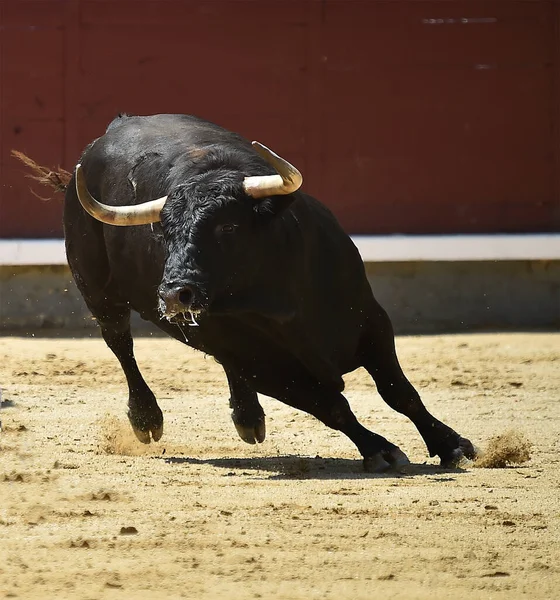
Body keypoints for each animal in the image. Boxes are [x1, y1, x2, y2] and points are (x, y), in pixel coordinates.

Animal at [20, 111, 476, 468]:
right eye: (164, 234)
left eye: (228, 227)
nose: (173, 294)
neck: (279, 299)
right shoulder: (266, 366)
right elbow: (332, 406)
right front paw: (380, 450)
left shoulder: (371, 321)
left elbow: (400, 392)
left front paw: (452, 445)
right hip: (99, 292)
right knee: (121, 344)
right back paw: (149, 419)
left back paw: (248, 418)